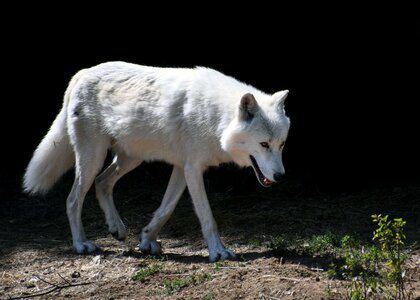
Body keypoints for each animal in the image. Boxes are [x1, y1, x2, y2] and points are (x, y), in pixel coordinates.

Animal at [23, 62, 288, 262]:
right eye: (264, 144)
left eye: (281, 145)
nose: (280, 177)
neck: (216, 118)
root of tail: (82, 73)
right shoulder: (193, 169)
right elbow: (207, 217)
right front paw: (218, 252)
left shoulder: (182, 168)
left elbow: (165, 209)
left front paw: (147, 240)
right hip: (93, 159)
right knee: (73, 199)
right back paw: (81, 244)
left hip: (130, 159)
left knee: (102, 183)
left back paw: (116, 228)